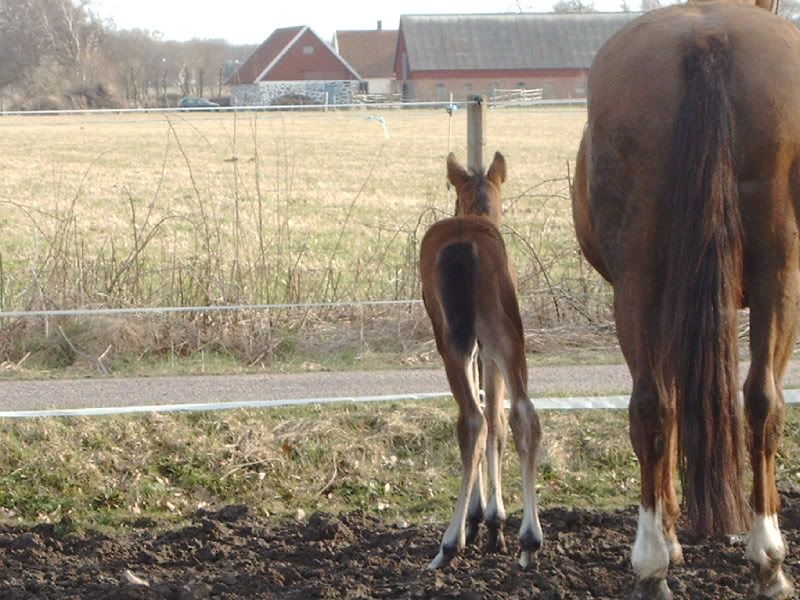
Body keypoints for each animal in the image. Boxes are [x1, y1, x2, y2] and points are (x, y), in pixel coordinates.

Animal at [418, 152, 544, 568]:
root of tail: (466, 247)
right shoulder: (487, 348)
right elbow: (498, 422)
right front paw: (494, 523)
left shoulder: (467, 344)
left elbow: (486, 420)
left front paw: (480, 519)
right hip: (507, 335)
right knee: (523, 414)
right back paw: (529, 539)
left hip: (455, 342)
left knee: (472, 420)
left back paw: (449, 543)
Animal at [572, 2, 800, 596]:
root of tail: (708, 40)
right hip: (775, 277)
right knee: (755, 402)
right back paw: (761, 558)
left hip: (645, 286)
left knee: (658, 405)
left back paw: (657, 561)